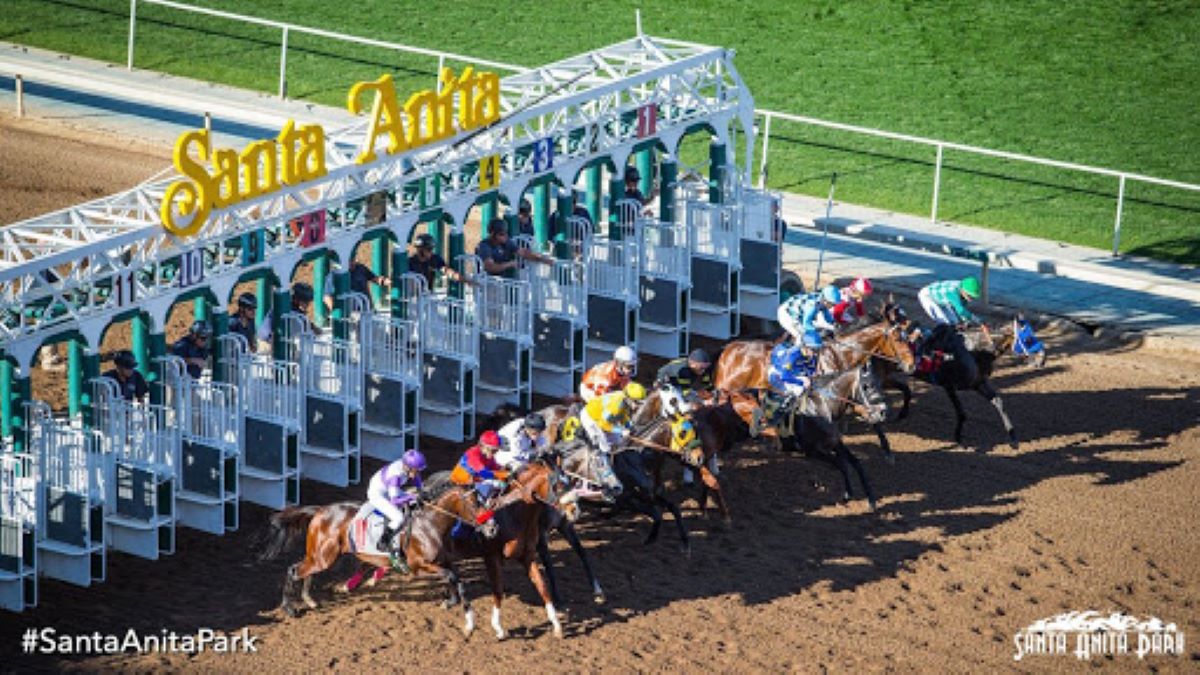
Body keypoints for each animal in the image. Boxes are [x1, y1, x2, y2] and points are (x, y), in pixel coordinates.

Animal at [259, 480, 492, 624]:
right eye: (474, 503)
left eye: (486, 501)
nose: (492, 528)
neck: (430, 523)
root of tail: (320, 510)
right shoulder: (419, 565)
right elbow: (451, 575)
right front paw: (451, 601)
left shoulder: (442, 560)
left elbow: (454, 575)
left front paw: (451, 600)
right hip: (324, 557)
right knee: (294, 570)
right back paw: (289, 608)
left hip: (321, 555)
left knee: (305, 570)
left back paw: (309, 599)